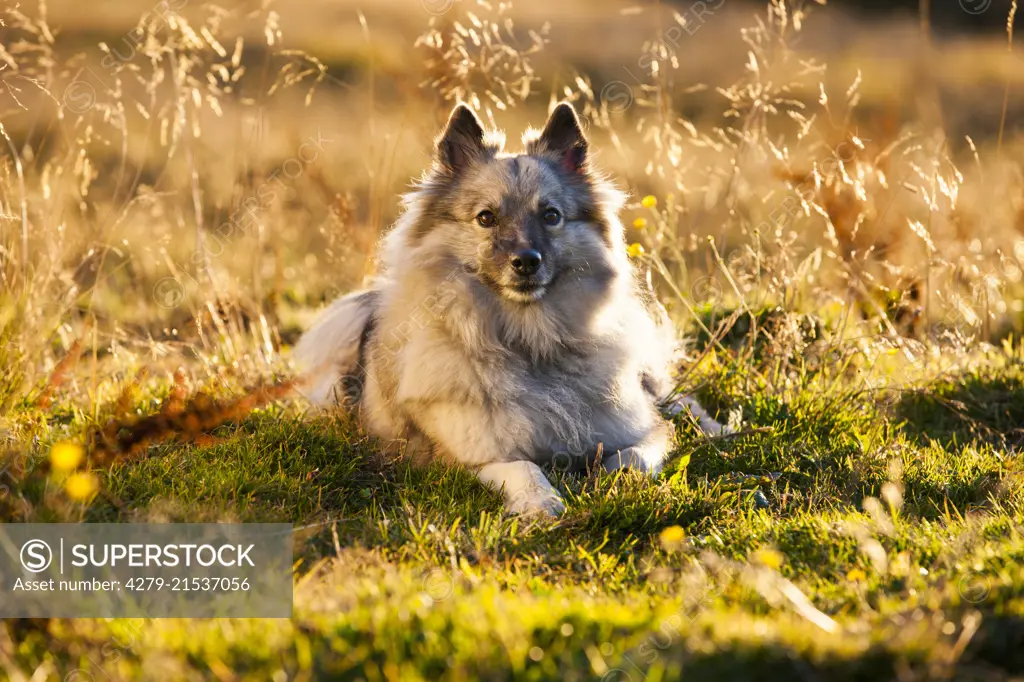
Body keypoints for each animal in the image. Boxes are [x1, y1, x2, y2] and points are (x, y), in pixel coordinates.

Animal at [294, 102, 729, 516]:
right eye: (486, 218)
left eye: (551, 216)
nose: (526, 261)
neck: (531, 341)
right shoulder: (475, 457)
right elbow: (526, 467)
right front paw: (541, 502)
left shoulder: (645, 431)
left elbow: (635, 456)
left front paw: (616, 481)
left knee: (681, 402)